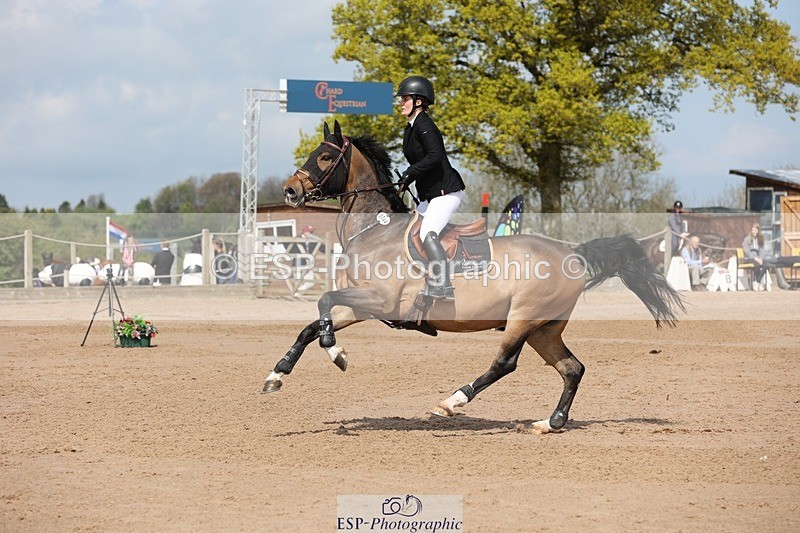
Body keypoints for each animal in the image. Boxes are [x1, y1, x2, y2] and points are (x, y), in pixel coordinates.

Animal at [262, 120, 684, 433]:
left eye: (325, 156)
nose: (291, 190)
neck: (374, 230)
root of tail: (573, 253)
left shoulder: (379, 300)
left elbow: (323, 303)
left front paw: (336, 353)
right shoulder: (364, 305)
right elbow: (312, 325)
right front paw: (277, 375)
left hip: (523, 319)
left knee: (504, 364)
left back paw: (451, 402)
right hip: (544, 329)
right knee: (571, 368)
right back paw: (550, 422)